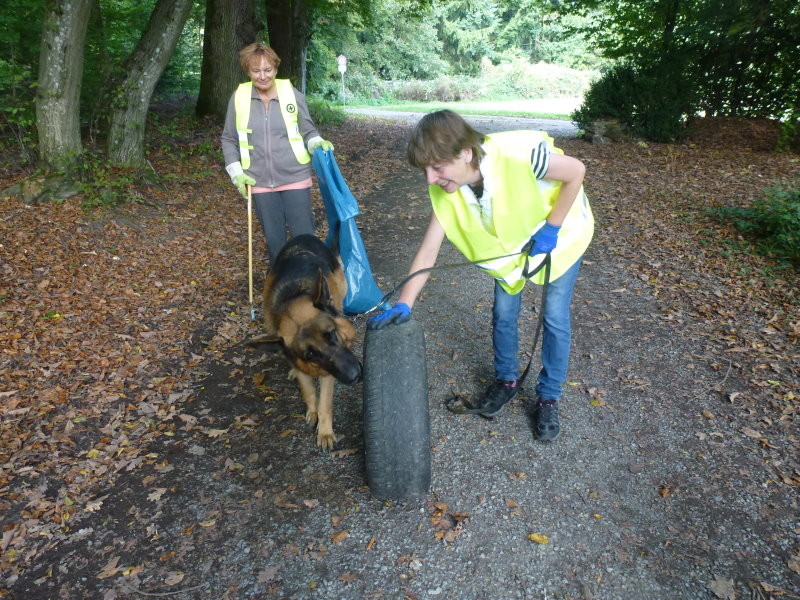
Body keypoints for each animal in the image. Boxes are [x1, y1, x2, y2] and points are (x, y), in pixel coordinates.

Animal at [248, 234, 360, 450]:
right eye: (311, 354)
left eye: (330, 334)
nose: (355, 375)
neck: (293, 299)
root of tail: (302, 236)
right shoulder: (300, 361)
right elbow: (308, 391)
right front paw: (312, 411)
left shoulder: (328, 373)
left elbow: (325, 402)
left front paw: (325, 432)